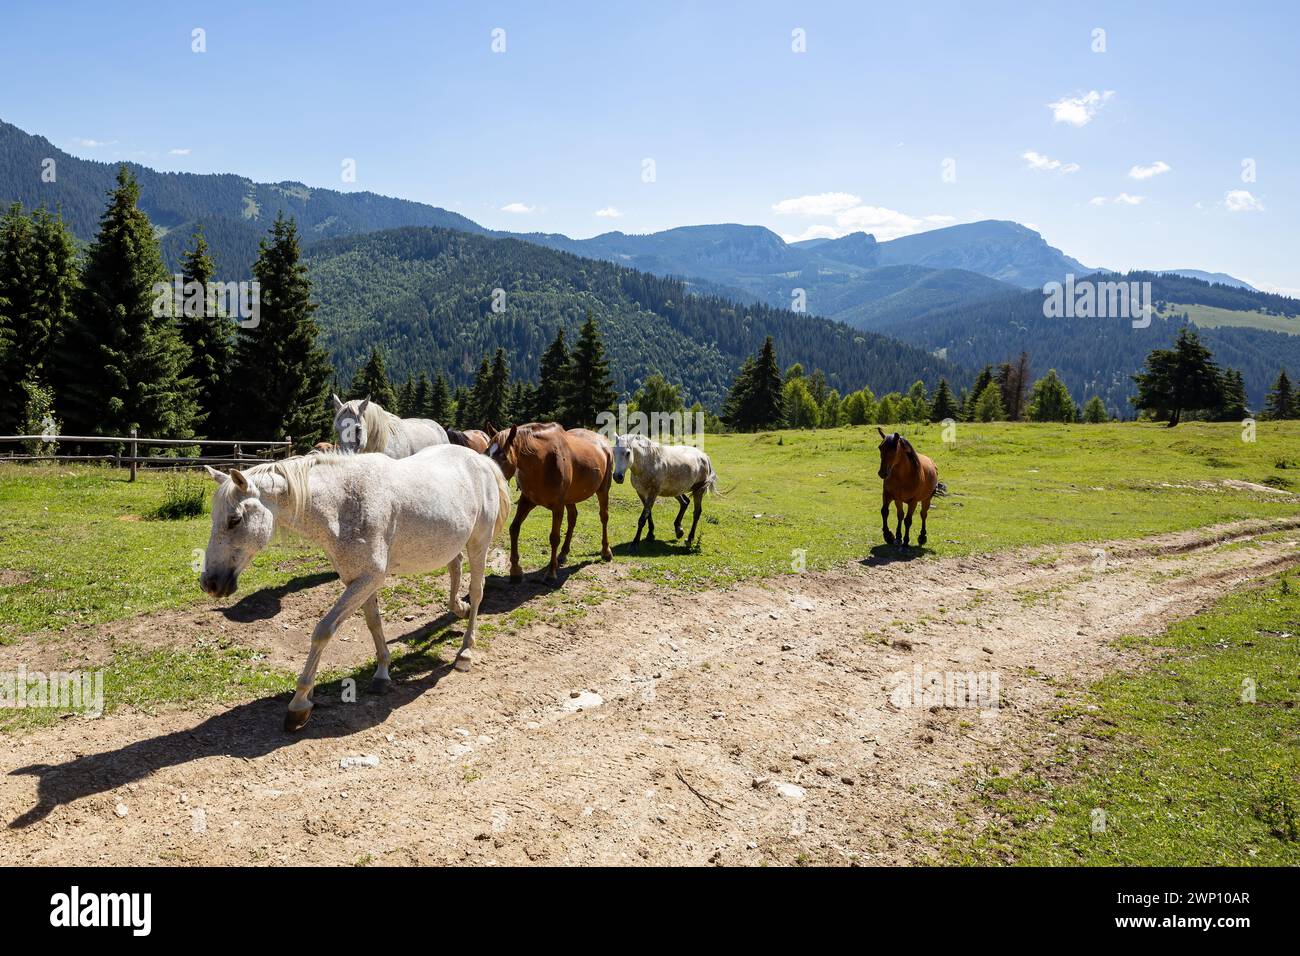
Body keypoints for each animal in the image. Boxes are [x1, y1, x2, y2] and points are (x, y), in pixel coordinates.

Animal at [199, 446, 510, 732]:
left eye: (235, 520)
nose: (209, 583)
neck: (343, 504)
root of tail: (480, 460)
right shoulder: (358, 580)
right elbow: (374, 624)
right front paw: (382, 673)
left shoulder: (369, 578)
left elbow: (323, 631)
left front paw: (299, 703)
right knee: (455, 567)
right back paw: (458, 608)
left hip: (478, 543)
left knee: (478, 590)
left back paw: (465, 651)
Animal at [486, 422, 613, 582]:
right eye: (486, 452)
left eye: (503, 456)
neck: (542, 463)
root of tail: (604, 442)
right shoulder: (526, 501)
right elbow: (514, 529)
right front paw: (515, 570)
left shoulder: (558, 507)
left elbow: (554, 538)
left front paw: (551, 572)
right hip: (570, 498)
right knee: (573, 518)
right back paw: (563, 553)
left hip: (603, 490)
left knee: (604, 517)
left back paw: (606, 551)